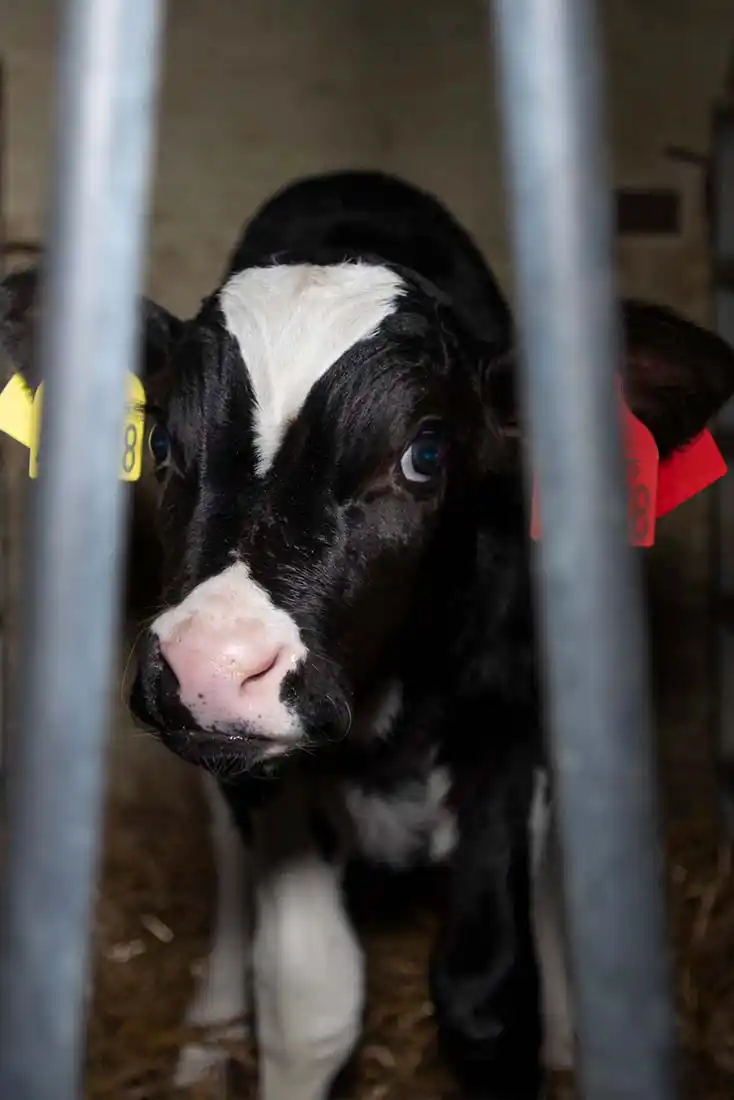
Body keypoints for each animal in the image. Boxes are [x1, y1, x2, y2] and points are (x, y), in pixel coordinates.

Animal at [1, 167, 734, 1095]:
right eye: (162, 440)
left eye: (425, 454)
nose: (211, 664)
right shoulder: (258, 765)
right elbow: (309, 998)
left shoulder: (509, 720)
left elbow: (488, 991)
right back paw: (210, 1028)